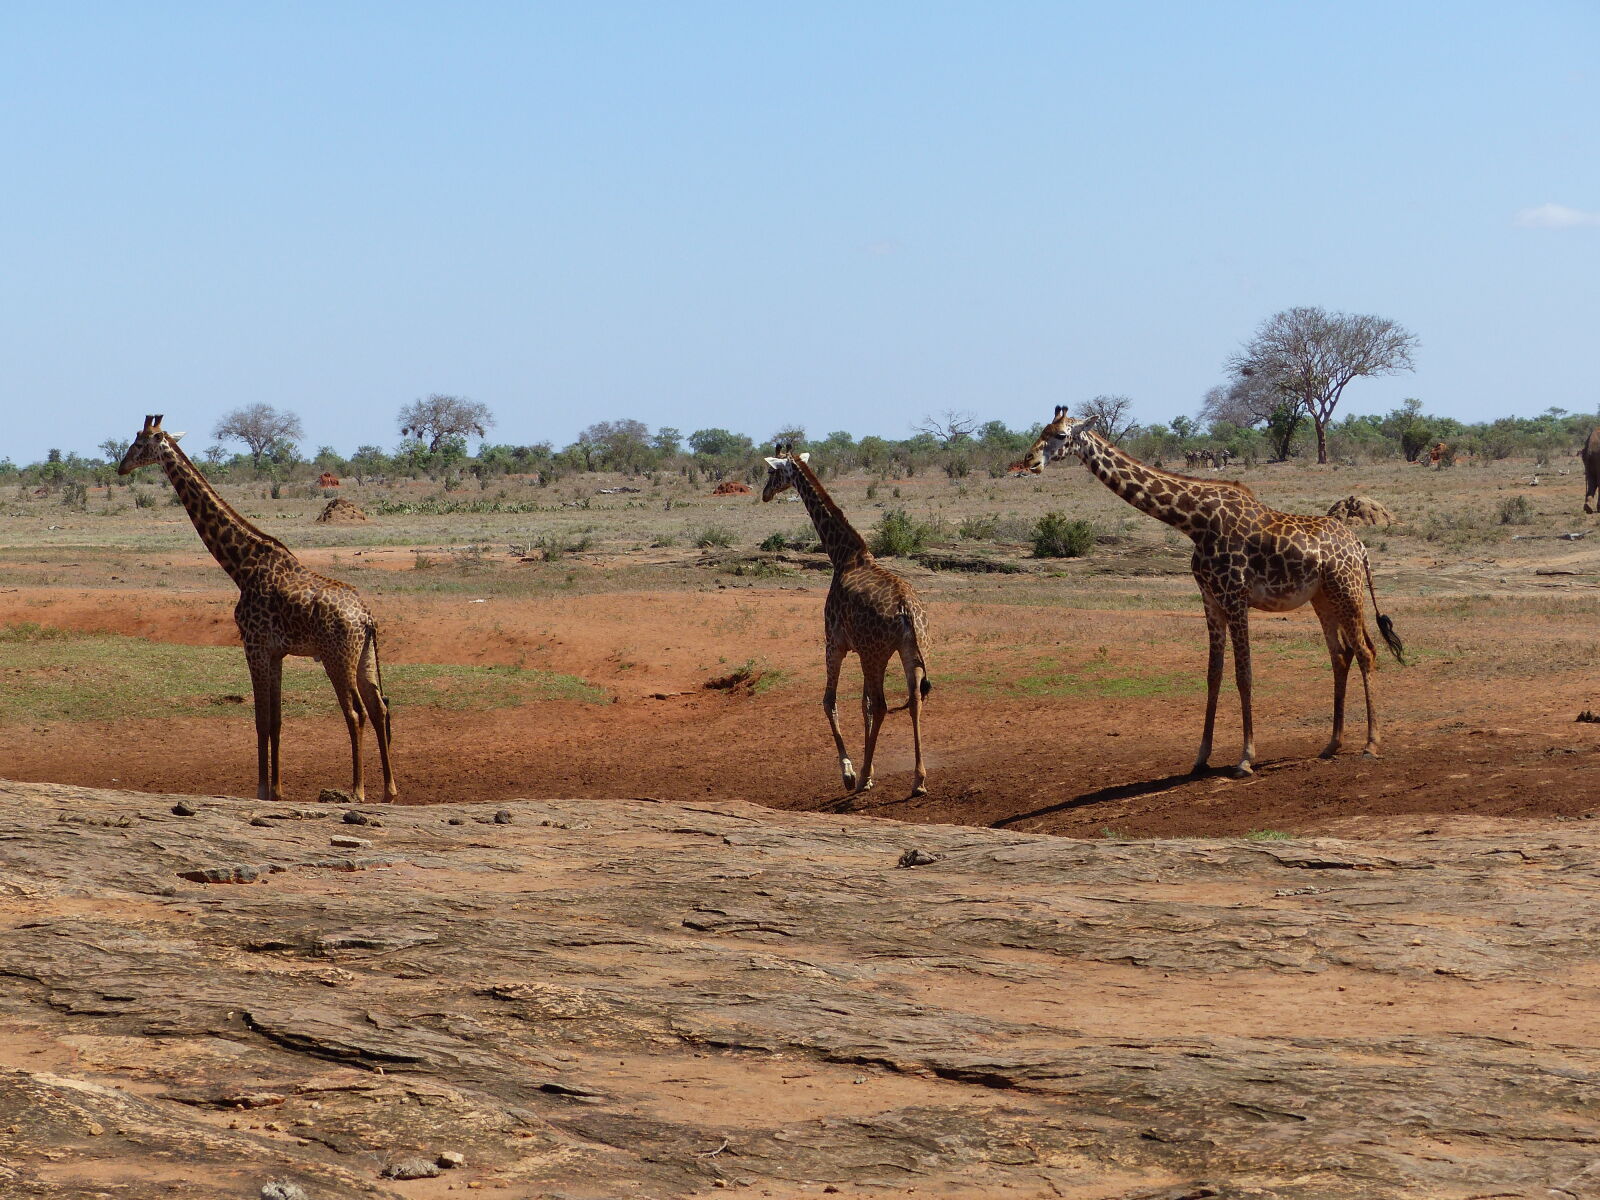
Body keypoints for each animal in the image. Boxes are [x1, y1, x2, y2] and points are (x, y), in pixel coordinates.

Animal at [116, 419, 396, 803]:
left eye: (140, 442)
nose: (121, 467)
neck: (241, 565)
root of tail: (367, 618)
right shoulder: (275, 652)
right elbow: (275, 719)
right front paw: (276, 788)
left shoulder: (254, 646)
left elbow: (261, 719)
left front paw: (263, 788)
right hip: (365, 655)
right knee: (380, 707)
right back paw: (389, 791)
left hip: (337, 657)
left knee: (355, 712)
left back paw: (357, 790)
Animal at [758, 448, 934, 803]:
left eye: (771, 473)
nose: (765, 494)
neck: (843, 555)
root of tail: (907, 610)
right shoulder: (859, 649)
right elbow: (862, 705)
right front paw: (869, 772)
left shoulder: (834, 643)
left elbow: (830, 701)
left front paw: (852, 774)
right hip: (909, 650)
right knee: (914, 701)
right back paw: (919, 780)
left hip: (875, 653)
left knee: (882, 704)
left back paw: (865, 775)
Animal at [1024, 406, 1401, 780]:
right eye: (1042, 430)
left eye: (1060, 435)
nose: (1029, 460)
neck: (1194, 522)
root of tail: (1360, 547)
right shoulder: (1210, 599)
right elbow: (1213, 674)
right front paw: (1201, 756)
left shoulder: (1235, 596)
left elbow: (1244, 674)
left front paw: (1245, 758)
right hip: (1322, 598)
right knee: (1341, 654)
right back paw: (1331, 744)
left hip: (1347, 590)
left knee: (1365, 652)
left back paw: (1371, 744)